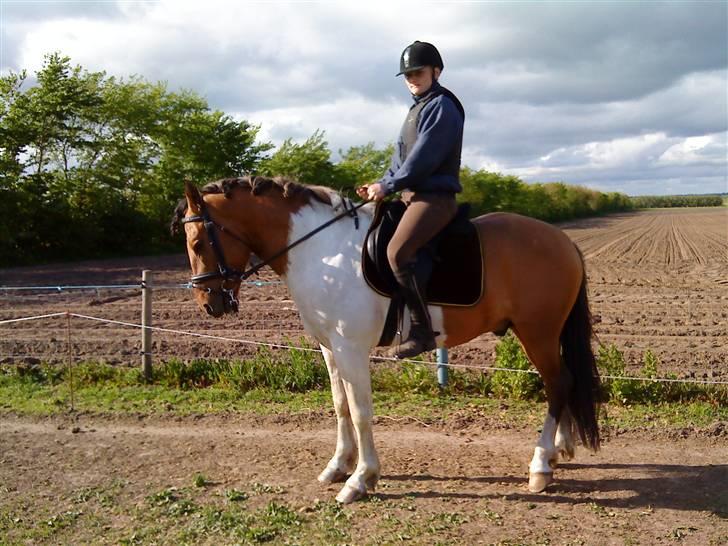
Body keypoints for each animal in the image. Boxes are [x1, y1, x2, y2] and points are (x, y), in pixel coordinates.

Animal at [173, 174, 600, 502]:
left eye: (197, 243)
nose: (209, 303)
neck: (320, 250)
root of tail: (562, 240)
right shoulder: (330, 347)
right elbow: (340, 405)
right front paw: (338, 465)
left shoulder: (350, 347)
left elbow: (361, 411)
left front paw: (361, 479)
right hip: (546, 333)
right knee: (563, 382)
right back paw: (560, 450)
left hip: (537, 332)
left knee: (556, 383)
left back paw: (540, 464)